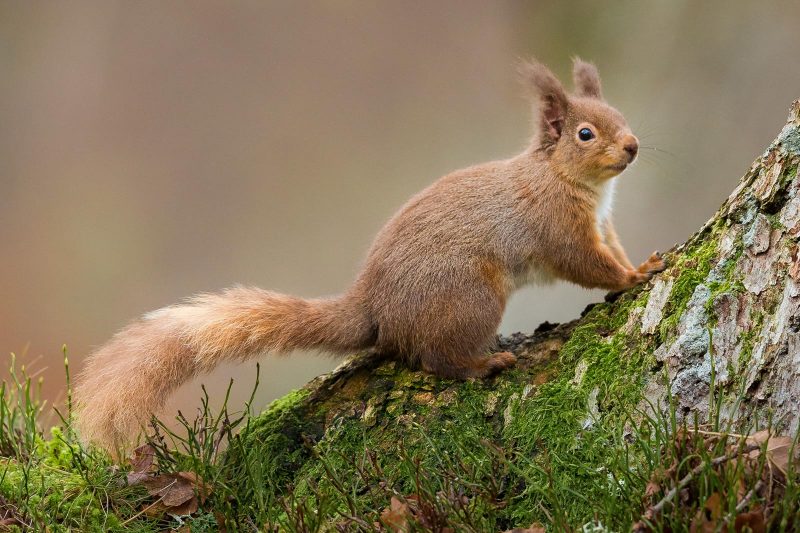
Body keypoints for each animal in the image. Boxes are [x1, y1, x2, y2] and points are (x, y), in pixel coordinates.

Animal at [75, 58, 664, 448]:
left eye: (621, 115)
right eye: (585, 133)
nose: (634, 146)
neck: (566, 178)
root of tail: (376, 310)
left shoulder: (601, 224)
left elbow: (611, 251)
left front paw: (640, 264)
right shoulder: (558, 228)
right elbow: (587, 265)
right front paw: (634, 279)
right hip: (471, 295)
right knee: (435, 359)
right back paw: (484, 362)